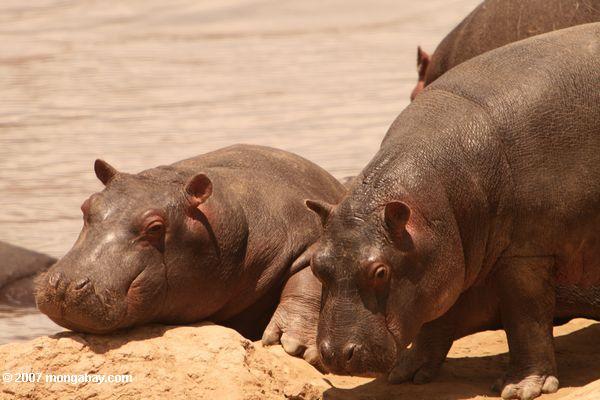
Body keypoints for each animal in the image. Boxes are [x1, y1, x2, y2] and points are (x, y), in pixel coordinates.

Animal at [308, 25, 600, 400]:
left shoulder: (526, 253)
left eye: (380, 271)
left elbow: (526, 318)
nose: (333, 354)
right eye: (315, 264)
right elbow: (437, 314)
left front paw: (521, 388)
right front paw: (407, 374)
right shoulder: (446, 258)